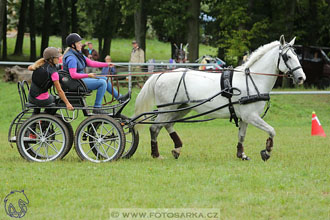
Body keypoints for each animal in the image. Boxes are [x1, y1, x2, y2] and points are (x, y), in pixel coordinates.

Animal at [134, 35, 306, 160]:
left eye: (296, 55)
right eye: (287, 57)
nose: (301, 78)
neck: (252, 80)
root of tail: (161, 74)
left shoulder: (245, 117)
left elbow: (242, 136)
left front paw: (241, 154)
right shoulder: (251, 116)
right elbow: (272, 130)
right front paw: (267, 152)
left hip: (181, 108)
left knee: (167, 125)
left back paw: (177, 149)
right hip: (168, 108)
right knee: (155, 128)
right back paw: (156, 154)